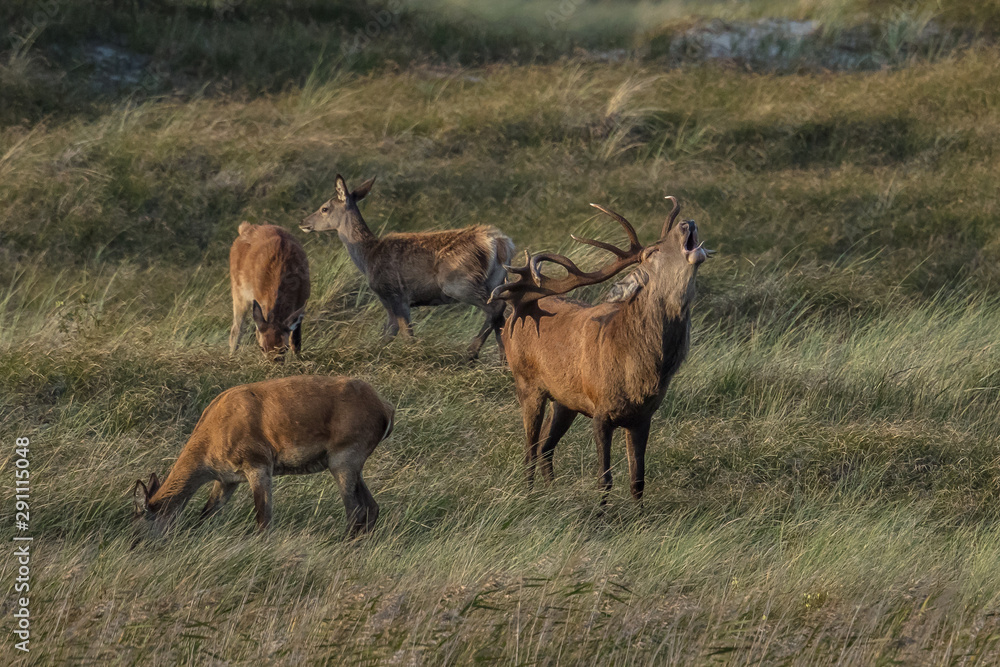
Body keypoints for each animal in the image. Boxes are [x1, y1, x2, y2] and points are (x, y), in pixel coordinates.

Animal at [132, 376, 394, 536]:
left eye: (139, 520)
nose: (134, 546)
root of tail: (384, 407)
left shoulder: (258, 467)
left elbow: (263, 519)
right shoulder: (227, 480)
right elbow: (207, 512)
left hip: (342, 462)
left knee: (355, 510)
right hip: (352, 467)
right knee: (372, 507)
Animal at [230, 223, 308, 360]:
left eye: (284, 348)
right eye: (262, 348)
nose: (272, 364)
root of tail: (246, 227)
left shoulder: (303, 300)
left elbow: (296, 340)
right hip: (238, 291)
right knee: (236, 329)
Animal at [300, 174, 512, 360]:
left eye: (324, 208)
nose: (303, 222)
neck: (368, 256)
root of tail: (501, 243)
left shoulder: (394, 292)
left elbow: (405, 334)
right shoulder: (390, 300)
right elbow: (389, 333)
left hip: (458, 283)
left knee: (496, 308)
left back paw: (472, 352)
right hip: (495, 280)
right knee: (500, 316)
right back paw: (503, 360)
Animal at [490, 197, 712, 500]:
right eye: (652, 252)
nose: (686, 223)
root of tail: (513, 317)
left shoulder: (643, 416)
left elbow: (638, 480)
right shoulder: (601, 410)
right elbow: (604, 479)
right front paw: (600, 511)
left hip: (564, 399)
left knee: (546, 445)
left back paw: (551, 492)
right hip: (527, 383)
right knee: (531, 449)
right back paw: (529, 494)